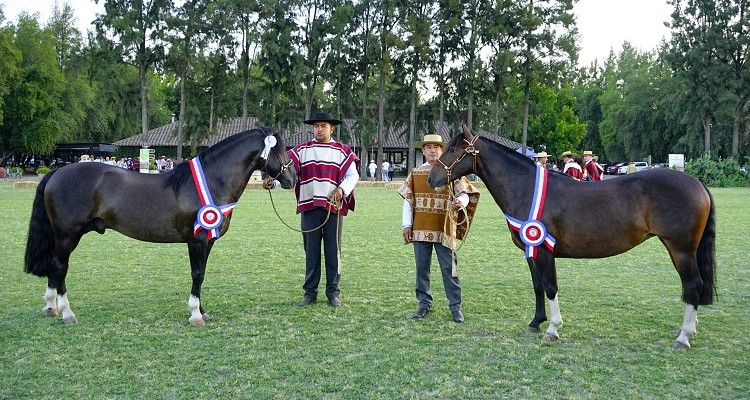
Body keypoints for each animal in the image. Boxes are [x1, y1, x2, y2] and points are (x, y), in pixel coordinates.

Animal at [24, 126, 294, 326]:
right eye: (280, 150)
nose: (291, 180)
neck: (211, 180)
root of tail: (56, 173)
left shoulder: (207, 241)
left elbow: (202, 274)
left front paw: (202, 310)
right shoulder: (197, 240)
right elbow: (197, 273)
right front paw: (195, 315)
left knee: (54, 267)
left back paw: (51, 307)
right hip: (67, 235)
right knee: (60, 267)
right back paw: (67, 313)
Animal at [428, 125, 716, 350]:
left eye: (453, 150)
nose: (432, 178)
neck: (526, 188)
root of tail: (697, 183)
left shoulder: (545, 251)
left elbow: (551, 287)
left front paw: (552, 329)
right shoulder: (531, 251)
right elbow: (538, 286)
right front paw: (536, 323)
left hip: (681, 249)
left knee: (693, 285)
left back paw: (683, 337)